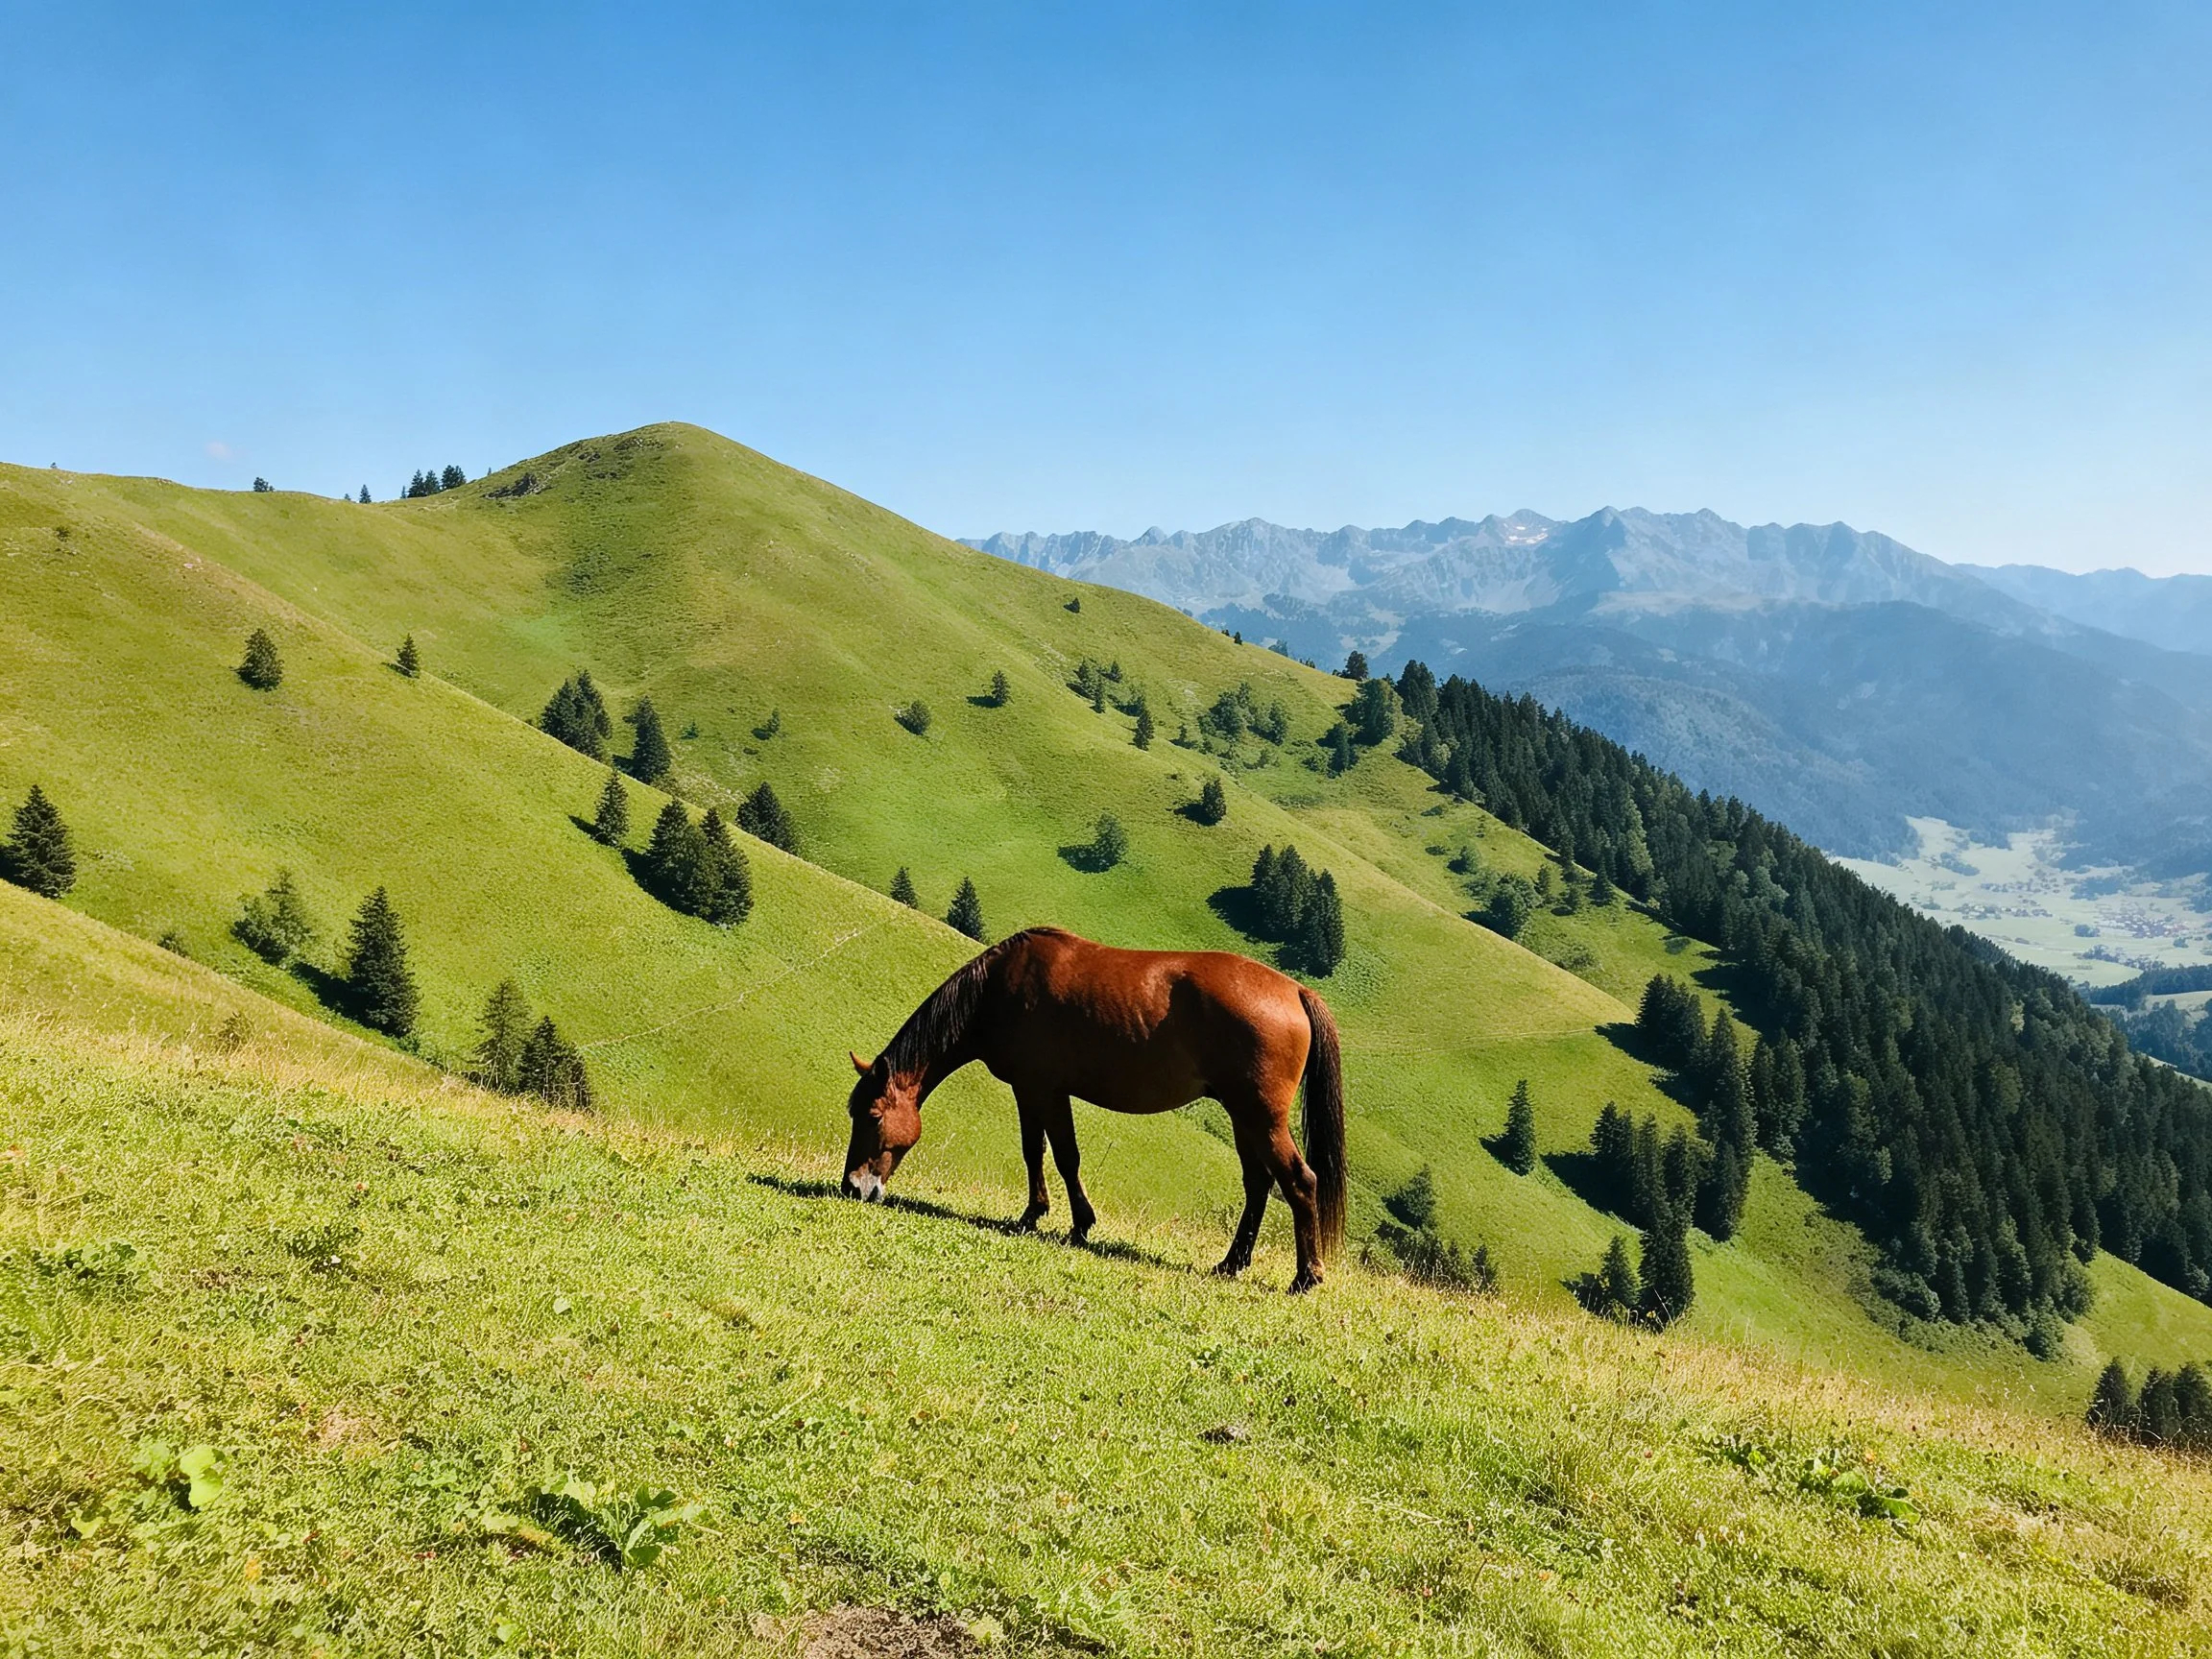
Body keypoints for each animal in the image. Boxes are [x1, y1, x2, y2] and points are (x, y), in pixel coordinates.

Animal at [842, 926, 1346, 1291]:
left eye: (872, 1117)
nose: (852, 1186)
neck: (997, 990)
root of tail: (1294, 991)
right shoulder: (1042, 1091)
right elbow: (1044, 1152)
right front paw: (1045, 1216)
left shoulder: (1037, 1089)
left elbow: (1056, 1155)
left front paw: (1065, 1222)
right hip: (1244, 1117)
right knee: (1259, 1184)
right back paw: (1231, 1263)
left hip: (1261, 1118)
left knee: (1300, 1181)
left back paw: (1306, 1276)